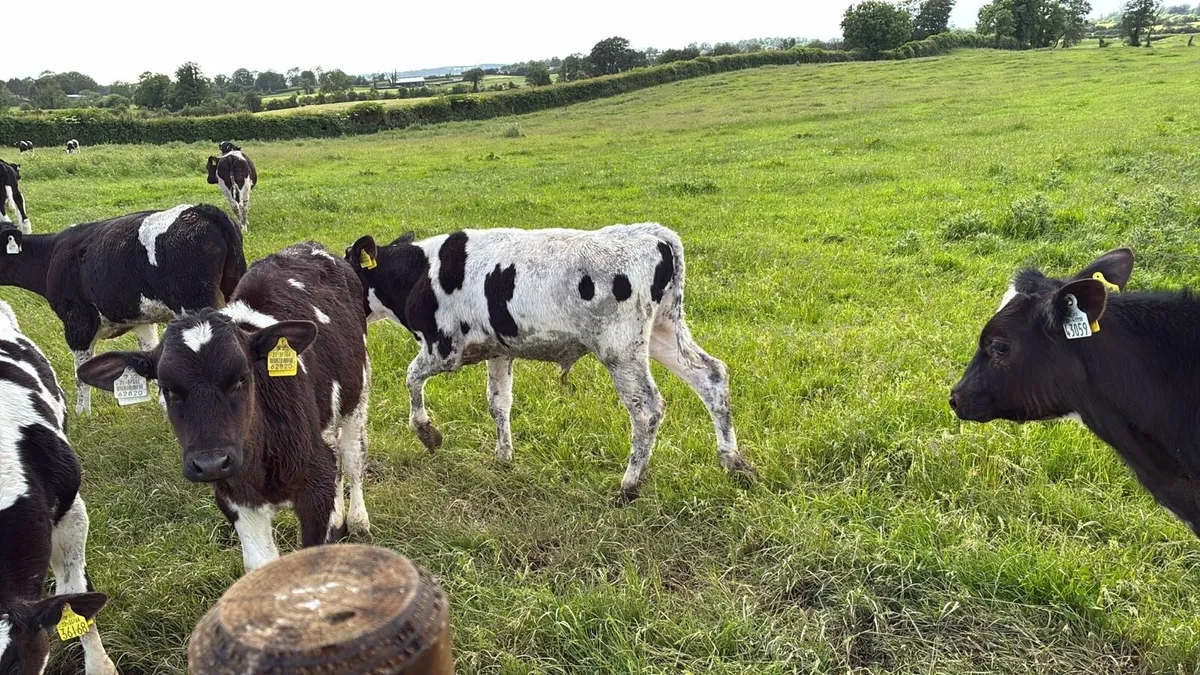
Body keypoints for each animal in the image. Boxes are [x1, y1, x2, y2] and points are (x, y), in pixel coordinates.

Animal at [0, 204, 246, 415]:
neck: (52, 256)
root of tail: (200, 210)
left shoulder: (77, 325)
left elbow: (80, 375)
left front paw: (83, 417)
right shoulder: (141, 322)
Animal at [78, 242, 371, 572]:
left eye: (242, 377)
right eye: (167, 388)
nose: (211, 463)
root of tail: (306, 246)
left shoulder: (315, 487)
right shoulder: (235, 497)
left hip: (357, 396)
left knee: (352, 456)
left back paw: (357, 519)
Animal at [345, 223, 753, 503]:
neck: (421, 274)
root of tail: (653, 235)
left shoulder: (443, 348)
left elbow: (411, 378)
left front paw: (428, 433)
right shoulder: (499, 351)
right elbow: (499, 404)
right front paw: (503, 456)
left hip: (621, 350)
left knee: (647, 408)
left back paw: (630, 484)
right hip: (663, 333)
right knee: (711, 376)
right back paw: (732, 462)